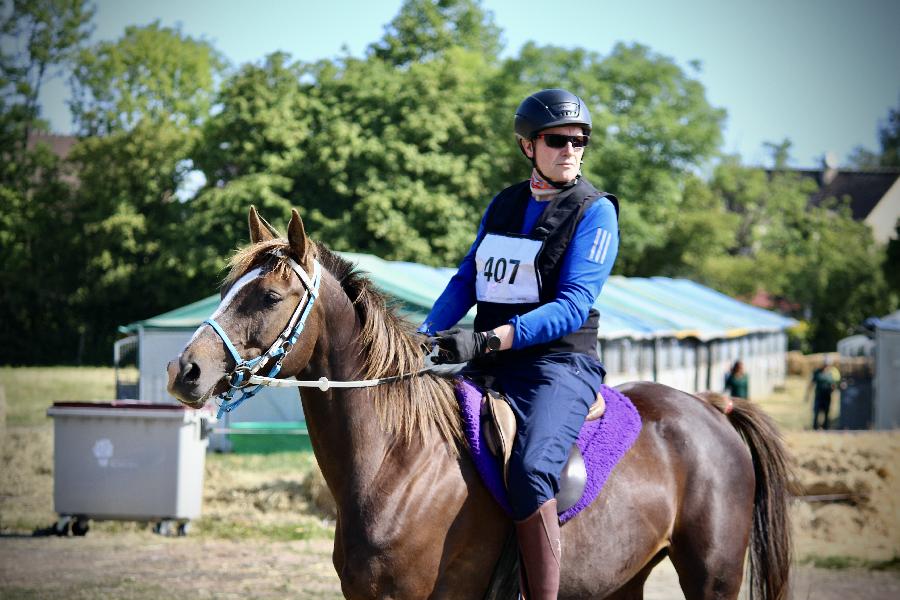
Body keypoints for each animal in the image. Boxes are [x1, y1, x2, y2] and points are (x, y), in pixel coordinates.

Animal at [165, 209, 792, 596]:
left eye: (270, 296)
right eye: (224, 291)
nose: (184, 371)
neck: (399, 461)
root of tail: (711, 409)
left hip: (712, 577)